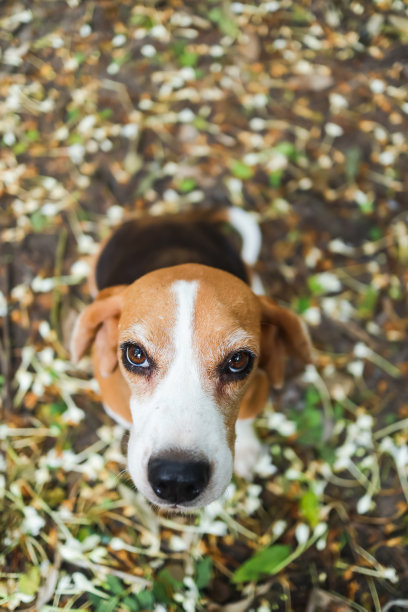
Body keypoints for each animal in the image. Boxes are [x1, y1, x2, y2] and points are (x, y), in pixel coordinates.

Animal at [71, 209, 312, 512]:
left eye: (238, 360)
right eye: (136, 354)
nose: (177, 480)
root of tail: (175, 217)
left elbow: (246, 418)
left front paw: (247, 450)